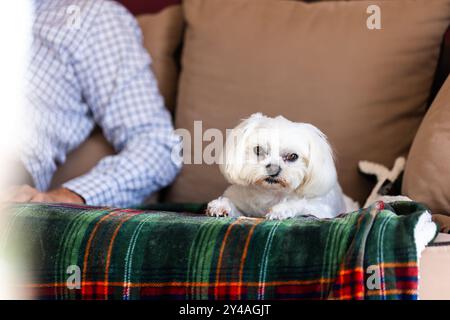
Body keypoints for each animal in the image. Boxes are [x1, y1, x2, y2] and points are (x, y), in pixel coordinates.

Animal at [206, 112, 356, 220]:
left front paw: (281, 209)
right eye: (258, 150)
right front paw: (221, 206)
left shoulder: (321, 210)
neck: (270, 193)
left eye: (293, 156)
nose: (273, 169)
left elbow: (301, 204)